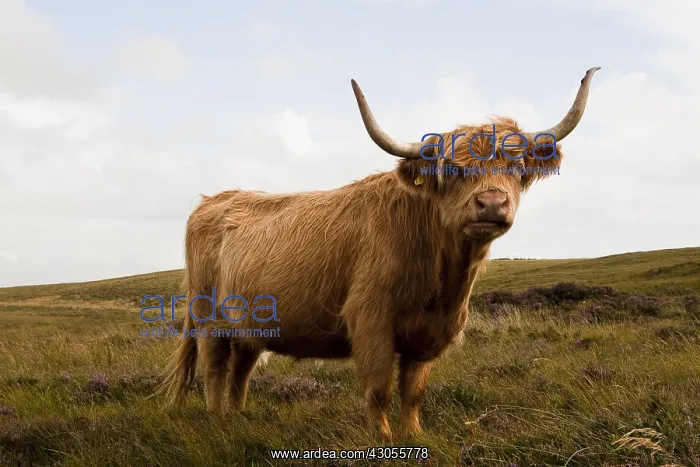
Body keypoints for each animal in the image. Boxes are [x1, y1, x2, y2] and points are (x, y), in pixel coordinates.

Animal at [159, 67, 600, 441]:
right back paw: (217, 420)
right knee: (214, 368)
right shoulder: (371, 319)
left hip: (251, 323)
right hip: (209, 318)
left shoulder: (428, 331)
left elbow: (414, 391)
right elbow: (379, 388)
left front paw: (415, 435)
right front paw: (384, 439)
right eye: (453, 170)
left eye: (516, 167)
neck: (443, 280)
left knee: (241, 370)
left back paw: (239, 418)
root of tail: (213, 200)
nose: (491, 203)